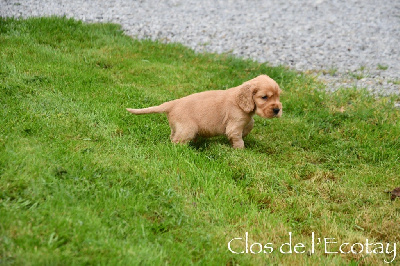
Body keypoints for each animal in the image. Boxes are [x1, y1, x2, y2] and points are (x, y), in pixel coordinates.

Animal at [126, 75, 282, 149]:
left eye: (278, 96)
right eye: (264, 97)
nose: (277, 110)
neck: (240, 101)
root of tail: (172, 103)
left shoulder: (245, 120)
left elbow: (250, 124)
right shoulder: (234, 125)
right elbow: (238, 138)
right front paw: (240, 150)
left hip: (178, 128)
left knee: (172, 136)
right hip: (187, 129)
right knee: (176, 142)